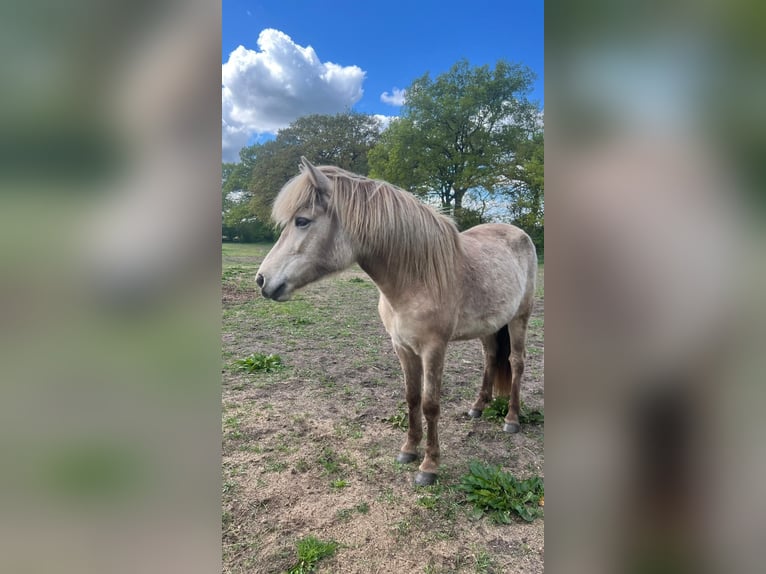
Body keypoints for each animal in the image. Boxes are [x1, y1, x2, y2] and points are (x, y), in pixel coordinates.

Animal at [256, 157, 538, 486]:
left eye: (302, 221)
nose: (262, 280)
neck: (416, 277)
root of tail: (519, 233)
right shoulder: (402, 347)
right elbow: (412, 398)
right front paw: (408, 450)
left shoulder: (433, 349)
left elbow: (430, 404)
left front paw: (429, 466)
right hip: (490, 326)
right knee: (491, 357)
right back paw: (478, 408)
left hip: (520, 318)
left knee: (516, 362)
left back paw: (512, 419)